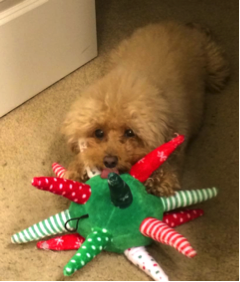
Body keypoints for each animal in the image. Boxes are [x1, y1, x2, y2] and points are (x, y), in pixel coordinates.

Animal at [62, 20, 229, 196]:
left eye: (130, 133)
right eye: (98, 132)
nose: (109, 161)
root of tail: (178, 25)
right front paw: (76, 172)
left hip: (216, 71)